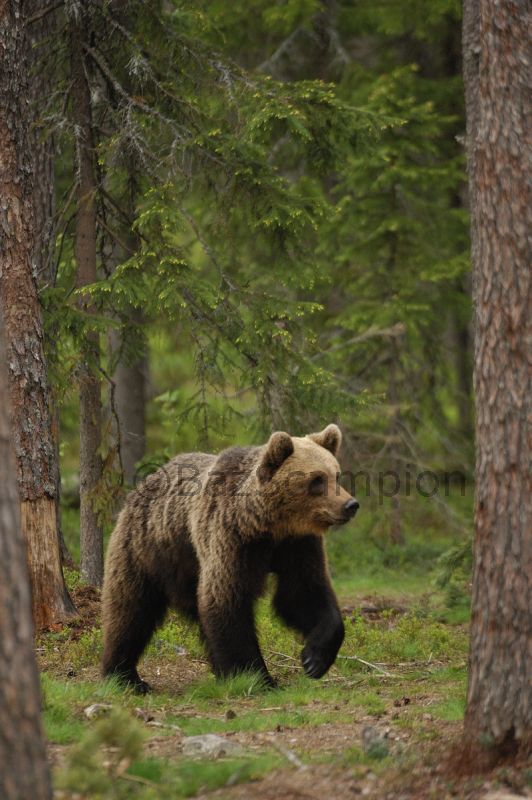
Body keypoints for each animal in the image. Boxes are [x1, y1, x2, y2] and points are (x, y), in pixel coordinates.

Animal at [101, 423, 359, 693]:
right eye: (317, 479)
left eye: (336, 475)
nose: (351, 504)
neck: (267, 526)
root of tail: (145, 482)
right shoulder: (231, 539)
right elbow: (227, 602)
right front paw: (257, 677)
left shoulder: (297, 545)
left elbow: (303, 593)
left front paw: (314, 660)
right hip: (146, 549)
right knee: (130, 610)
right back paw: (124, 675)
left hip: (185, 567)